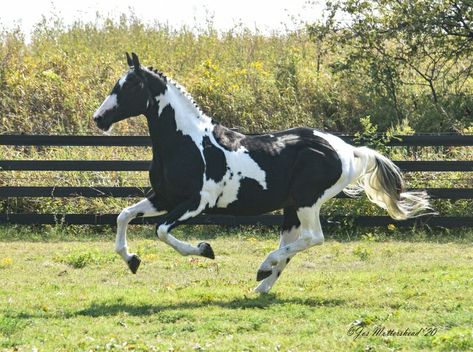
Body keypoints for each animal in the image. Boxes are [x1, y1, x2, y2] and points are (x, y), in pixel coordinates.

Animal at [92, 52, 432, 292]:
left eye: (129, 86)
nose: (98, 118)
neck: (186, 142)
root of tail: (347, 150)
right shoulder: (163, 197)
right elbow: (123, 215)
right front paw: (132, 261)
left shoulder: (197, 202)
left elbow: (162, 231)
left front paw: (205, 250)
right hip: (293, 208)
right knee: (293, 246)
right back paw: (263, 282)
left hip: (308, 202)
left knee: (314, 238)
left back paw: (264, 266)